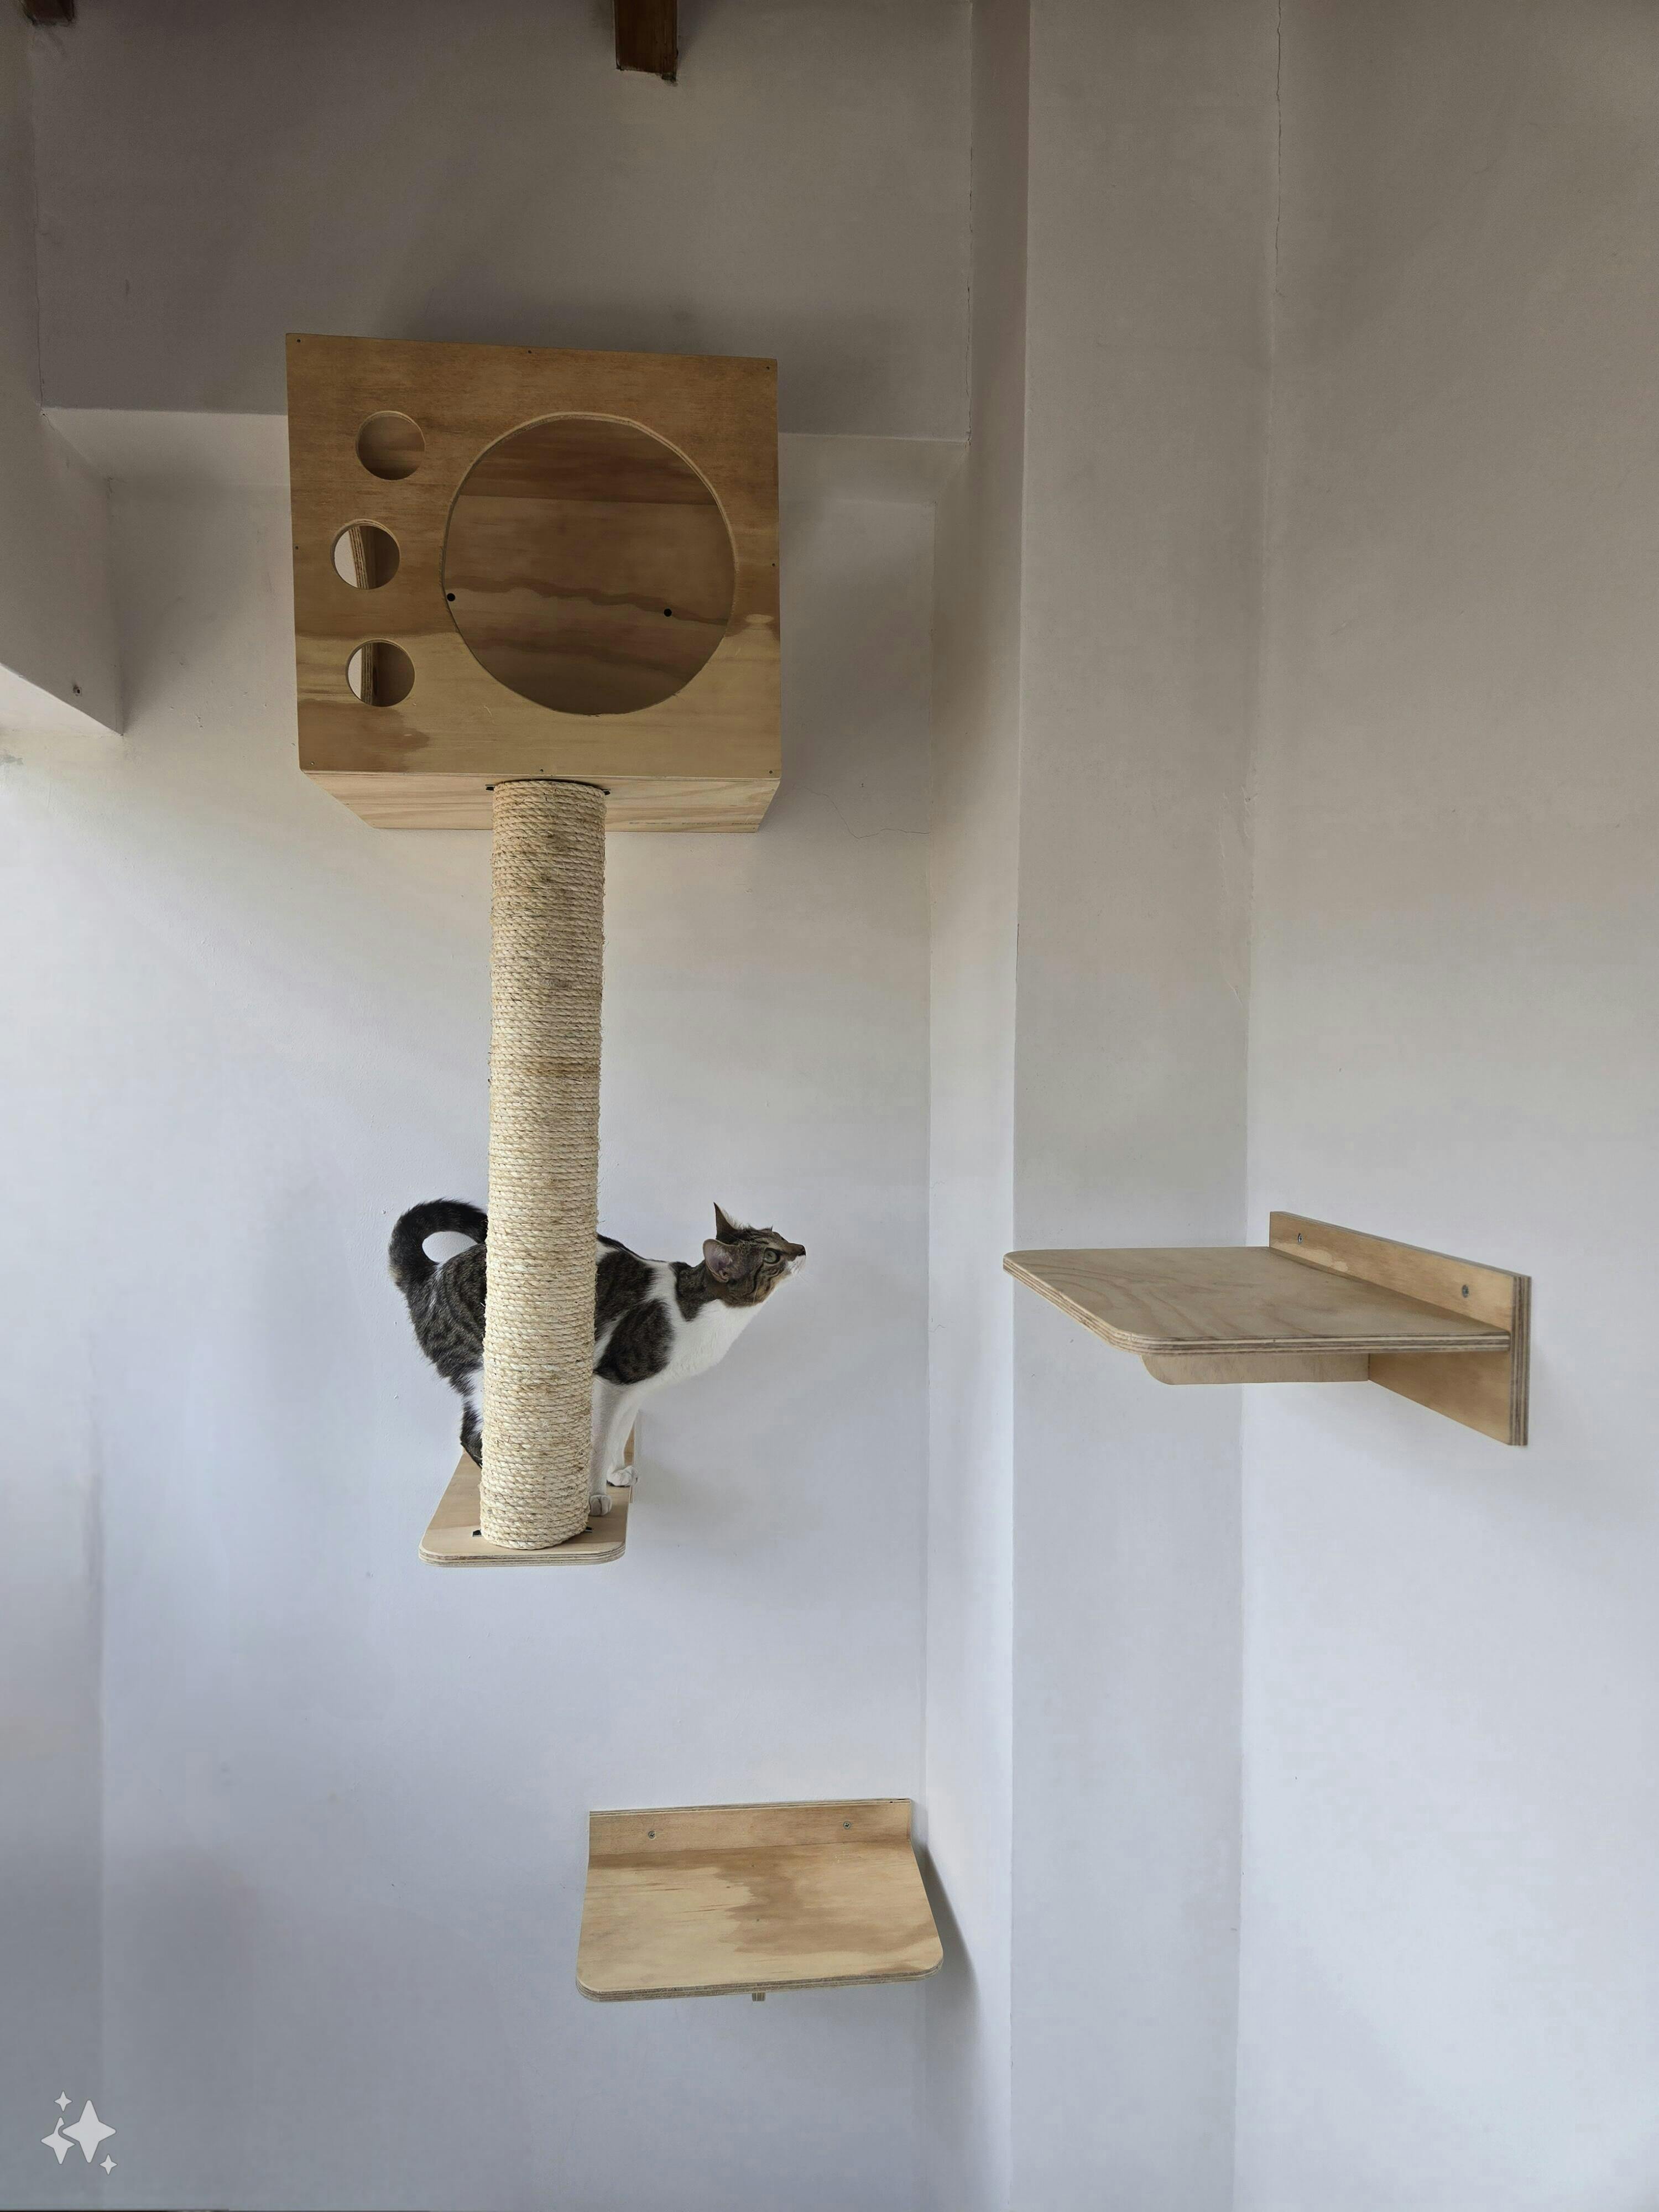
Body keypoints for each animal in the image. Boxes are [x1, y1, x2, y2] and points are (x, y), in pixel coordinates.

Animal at [389, 1200, 805, 1511]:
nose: (801, 1249)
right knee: (471, 1435)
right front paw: (594, 1497)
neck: (701, 1314)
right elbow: (601, 1439)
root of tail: (431, 1274)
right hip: (483, 1370)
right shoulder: (613, 1379)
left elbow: (620, 1434)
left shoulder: (635, 1389)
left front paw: (616, 1474)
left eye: (780, 1236)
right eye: (772, 1256)